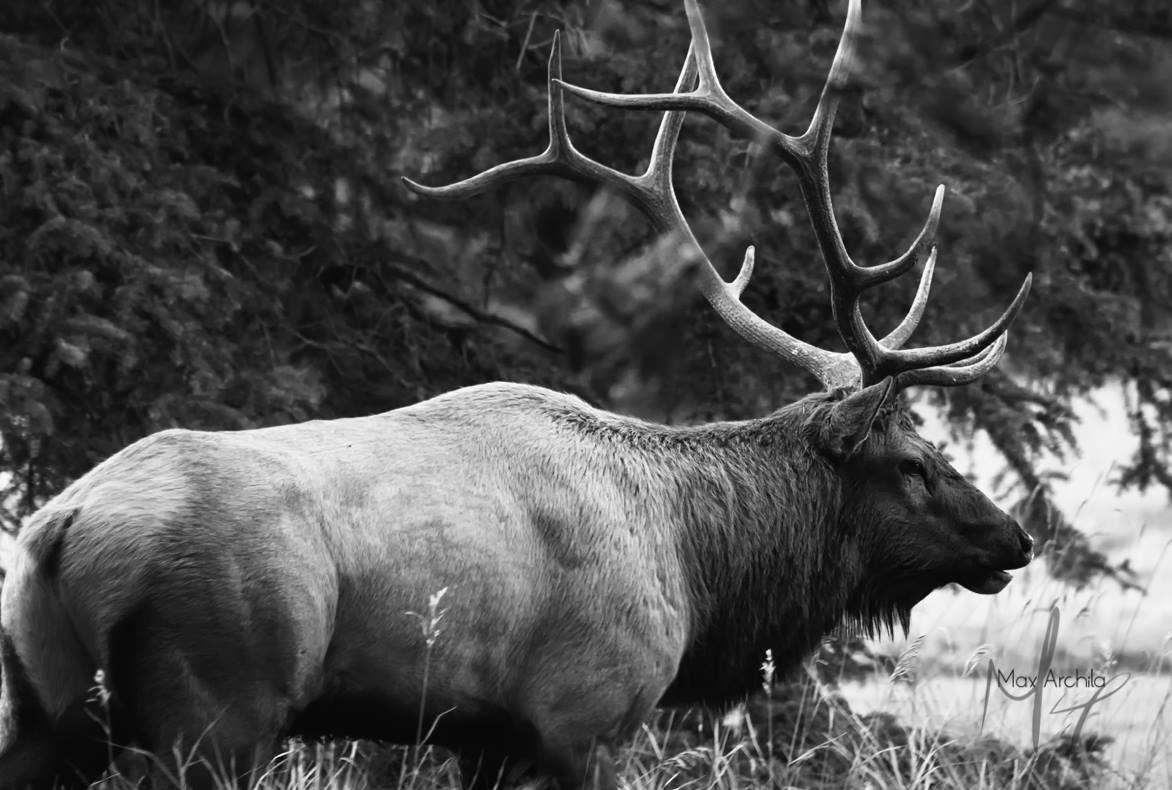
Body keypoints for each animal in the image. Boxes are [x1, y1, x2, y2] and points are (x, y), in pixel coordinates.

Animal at [0, 0, 1034, 788]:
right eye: (915, 461)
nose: (1017, 538)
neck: (699, 565)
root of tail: (61, 528)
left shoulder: (485, 735)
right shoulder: (586, 715)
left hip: (47, 709)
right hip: (220, 701)